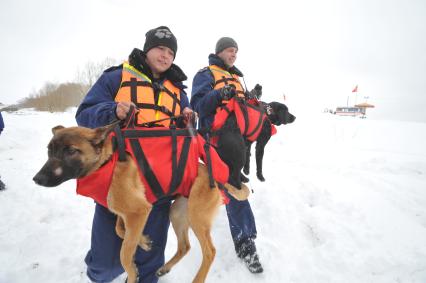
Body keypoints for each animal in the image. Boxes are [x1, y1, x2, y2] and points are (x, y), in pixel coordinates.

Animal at [33, 124, 250, 283]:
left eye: (71, 151)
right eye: (49, 150)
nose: (37, 179)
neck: (106, 163)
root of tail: (220, 181)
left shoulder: (138, 212)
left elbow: (124, 253)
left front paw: (132, 274)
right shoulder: (125, 213)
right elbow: (120, 230)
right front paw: (144, 242)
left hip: (197, 217)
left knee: (210, 252)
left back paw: (197, 279)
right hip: (177, 213)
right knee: (185, 246)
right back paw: (164, 268)